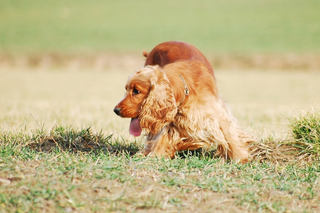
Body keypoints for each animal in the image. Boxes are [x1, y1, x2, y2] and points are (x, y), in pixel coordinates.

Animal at [114, 40, 254, 162]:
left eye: (136, 91)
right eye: (126, 89)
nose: (116, 110)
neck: (184, 90)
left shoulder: (217, 115)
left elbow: (230, 136)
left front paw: (241, 158)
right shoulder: (170, 120)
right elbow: (162, 139)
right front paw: (155, 155)